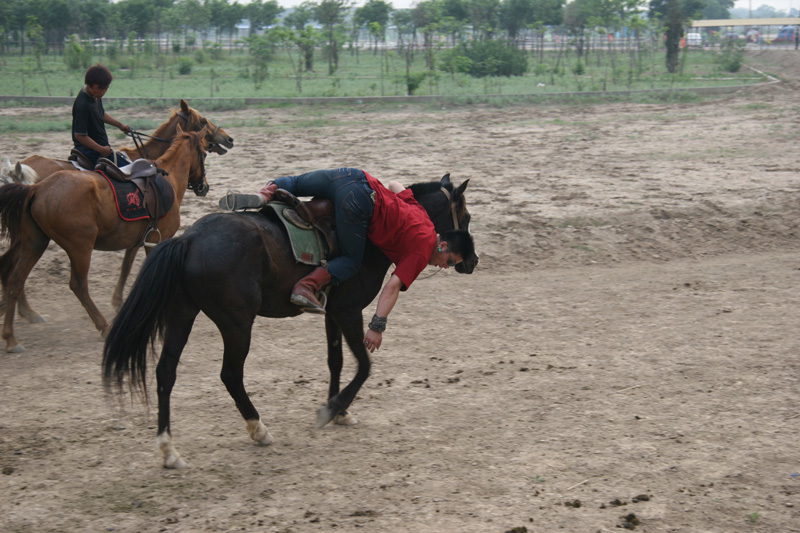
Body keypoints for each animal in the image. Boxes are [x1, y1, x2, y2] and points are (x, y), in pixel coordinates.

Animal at [0, 127, 209, 354]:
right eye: (205, 153)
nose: (204, 187)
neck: (169, 178)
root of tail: (37, 188)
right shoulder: (156, 241)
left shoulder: (138, 241)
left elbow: (128, 268)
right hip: (80, 247)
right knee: (78, 285)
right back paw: (103, 327)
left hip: (35, 243)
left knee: (15, 279)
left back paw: (11, 335)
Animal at [100, 175, 476, 466]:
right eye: (467, 217)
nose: (472, 261)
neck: (375, 237)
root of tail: (188, 239)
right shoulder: (349, 311)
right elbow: (364, 365)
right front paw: (333, 409)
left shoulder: (332, 313)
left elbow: (336, 360)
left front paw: (339, 410)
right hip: (237, 324)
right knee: (230, 374)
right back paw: (258, 429)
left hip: (182, 315)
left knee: (166, 372)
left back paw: (168, 448)